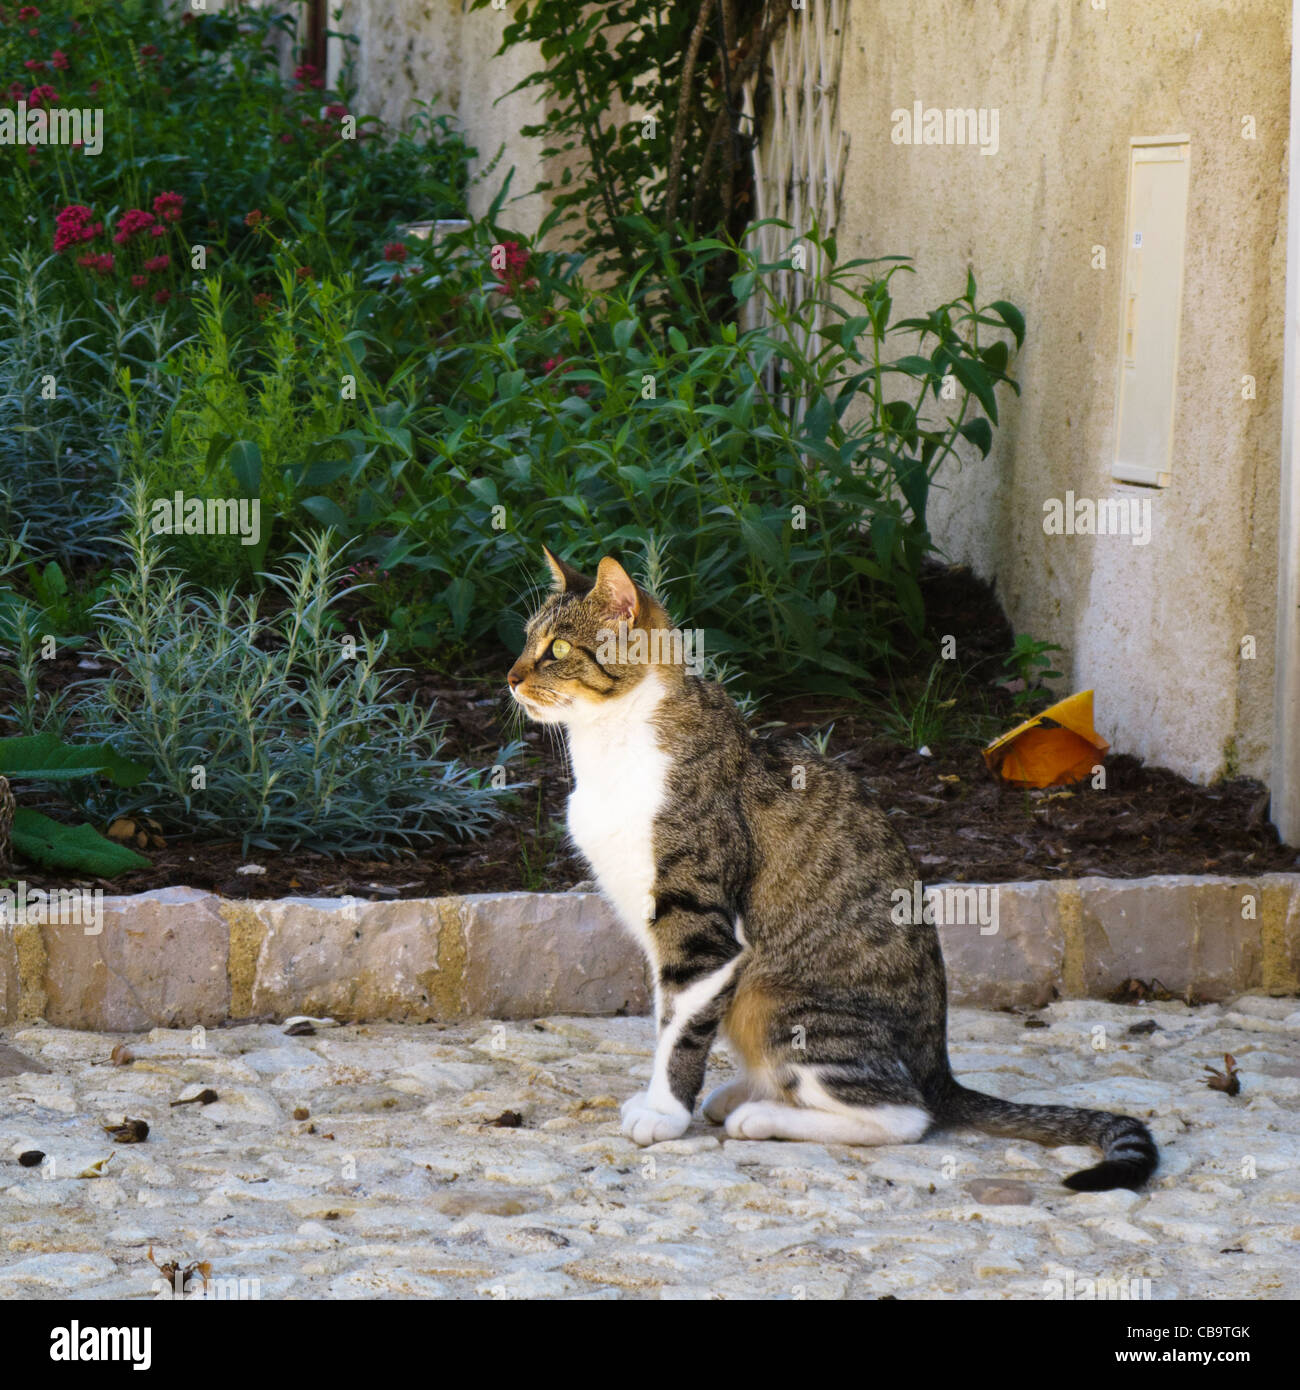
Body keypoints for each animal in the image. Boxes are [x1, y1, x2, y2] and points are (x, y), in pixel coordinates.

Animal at [506, 547, 1156, 1189]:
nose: (510, 677)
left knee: (904, 1115)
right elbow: (665, 1017)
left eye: (557, 649)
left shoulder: (699, 928)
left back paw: (762, 1115)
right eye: (527, 639)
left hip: (786, 1003)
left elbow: (681, 1028)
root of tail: (940, 1072)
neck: (614, 744)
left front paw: (664, 1112)